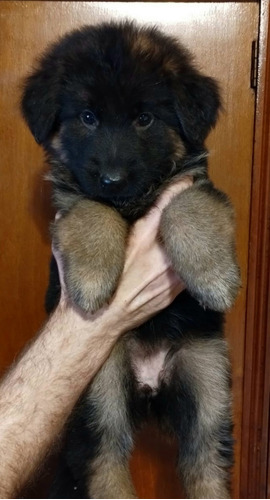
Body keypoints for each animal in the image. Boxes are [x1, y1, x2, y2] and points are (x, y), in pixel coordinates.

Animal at [21, 21, 240, 498]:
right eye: (88, 118)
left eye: (145, 119)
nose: (112, 179)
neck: (133, 204)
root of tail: (150, 380)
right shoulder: (71, 201)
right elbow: (93, 210)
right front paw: (90, 279)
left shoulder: (196, 184)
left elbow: (187, 205)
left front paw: (213, 275)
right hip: (100, 391)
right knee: (105, 461)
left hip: (208, 379)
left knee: (206, 459)